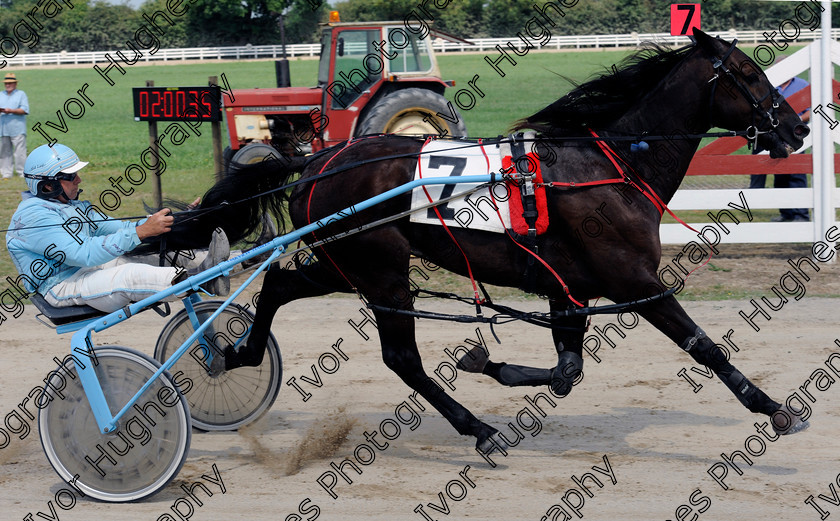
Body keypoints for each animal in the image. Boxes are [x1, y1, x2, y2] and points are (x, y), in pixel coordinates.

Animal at [161, 30, 812, 448]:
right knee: (400, 357)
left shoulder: (569, 290)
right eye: (748, 74)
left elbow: (567, 371)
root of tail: (318, 160)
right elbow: (704, 346)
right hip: (380, 269)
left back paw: (236, 353)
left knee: (278, 282)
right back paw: (478, 429)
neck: (608, 165)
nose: (797, 126)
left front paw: (486, 361)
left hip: (342, 263)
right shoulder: (634, 281)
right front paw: (774, 409)